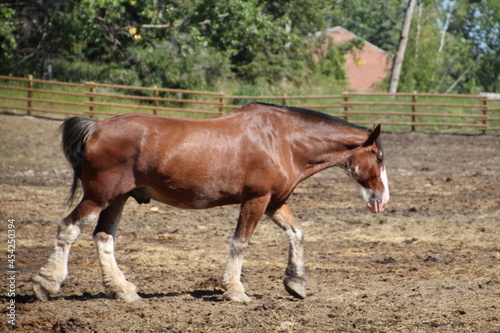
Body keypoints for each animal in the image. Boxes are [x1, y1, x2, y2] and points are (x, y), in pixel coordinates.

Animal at [33, 102, 388, 302]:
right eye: (380, 158)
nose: (382, 199)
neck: (282, 140)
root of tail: (96, 128)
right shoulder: (256, 200)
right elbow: (240, 243)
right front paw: (235, 290)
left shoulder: (274, 202)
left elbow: (296, 234)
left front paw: (296, 282)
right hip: (99, 196)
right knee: (68, 229)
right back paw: (46, 283)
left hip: (117, 199)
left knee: (103, 238)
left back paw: (123, 291)